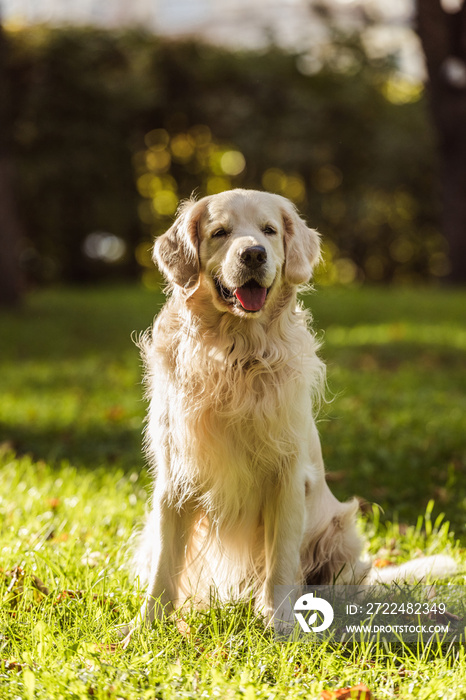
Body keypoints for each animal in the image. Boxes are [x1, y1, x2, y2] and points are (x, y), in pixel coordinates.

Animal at [124, 186, 456, 636]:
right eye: (220, 232)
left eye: (269, 230)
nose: (254, 254)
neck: (235, 354)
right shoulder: (175, 476)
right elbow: (165, 566)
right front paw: (145, 628)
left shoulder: (284, 474)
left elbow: (280, 562)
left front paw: (280, 623)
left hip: (340, 529)